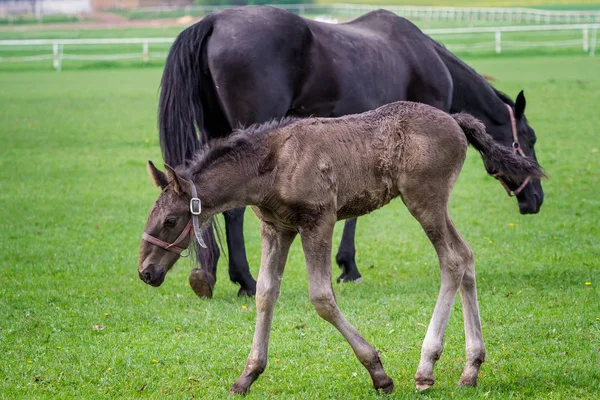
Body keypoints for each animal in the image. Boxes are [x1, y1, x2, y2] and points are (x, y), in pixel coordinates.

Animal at [139, 101, 544, 394]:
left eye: (170, 221)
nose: (145, 272)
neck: (271, 165)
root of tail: (456, 120)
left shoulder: (319, 221)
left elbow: (321, 297)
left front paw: (379, 373)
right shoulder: (277, 229)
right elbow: (265, 294)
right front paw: (247, 376)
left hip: (424, 200)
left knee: (453, 260)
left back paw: (426, 368)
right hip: (434, 205)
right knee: (468, 256)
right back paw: (470, 370)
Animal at [159, 4, 544, 296]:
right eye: (530, 139)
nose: (536, 199)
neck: (425, 58)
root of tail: (213, 21)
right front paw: (349, 266)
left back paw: (208, 275)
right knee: (234, 209)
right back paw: (245, 280)